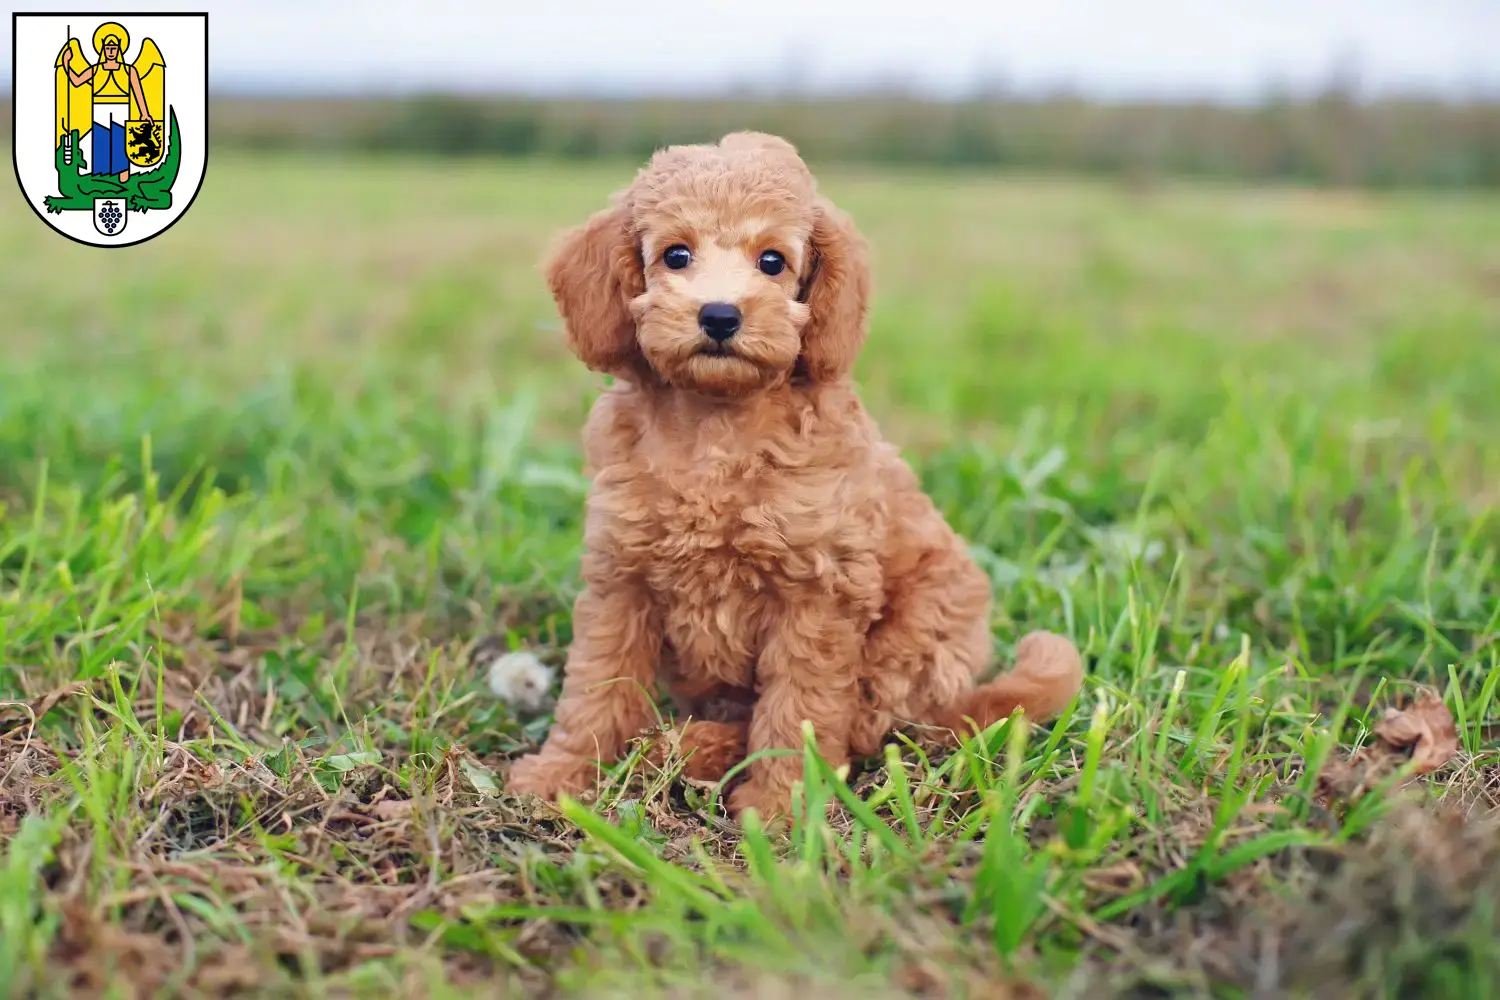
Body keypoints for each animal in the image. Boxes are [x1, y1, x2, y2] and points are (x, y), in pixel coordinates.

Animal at [510, 132, 1086, 821]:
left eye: (773, 261)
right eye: (676, 255)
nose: (720, 316)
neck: (717, 425)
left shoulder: (819, 594)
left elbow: (800, 710)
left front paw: (781, 808)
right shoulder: (620, 580)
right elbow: (595, 688)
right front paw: (562, 775)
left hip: (916, 638)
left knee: (866, 727)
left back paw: (690, 748)